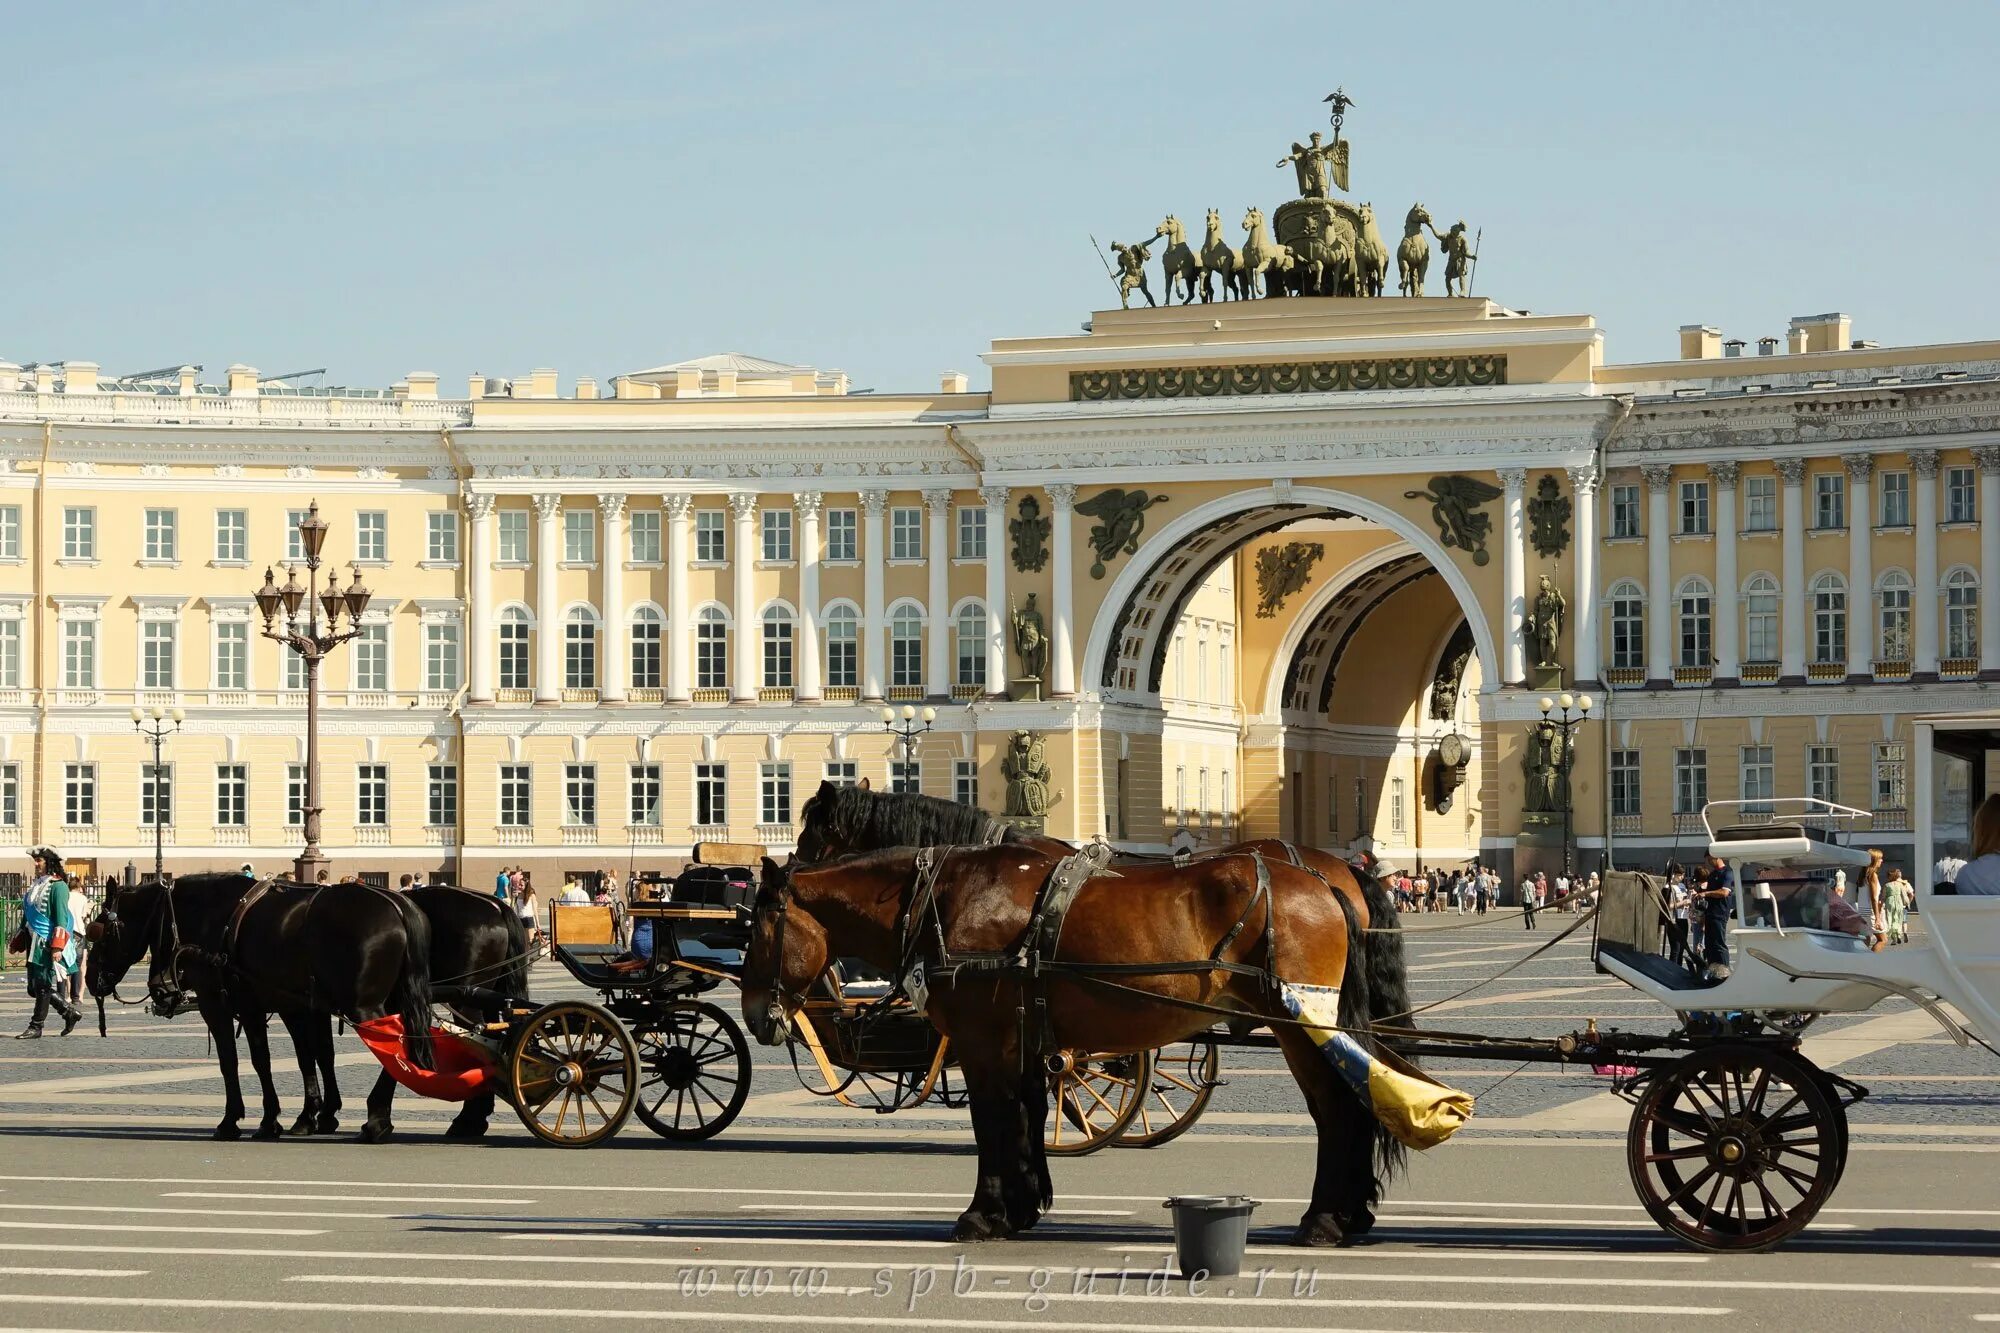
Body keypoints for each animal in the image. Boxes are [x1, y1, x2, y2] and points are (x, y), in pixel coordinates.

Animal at [87, 872, 434, 1144]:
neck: (213, 917)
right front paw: (299, 1117)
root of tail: (399, 905)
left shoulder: (218, 1005)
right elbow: (297, 1058)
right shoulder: (279, 1007)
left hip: (364, 1007)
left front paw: (234, 1121)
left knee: (396, 1050)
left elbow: (235, 1062)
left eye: (98, 933)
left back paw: (376, 1120)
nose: (90, 981)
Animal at [748, 844, 1392, 1240]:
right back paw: (1350, 1213)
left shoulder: (984, 1044)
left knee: (1338, 1111)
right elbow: (1028, 1117)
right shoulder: (1026, 1044)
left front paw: (984, 1213)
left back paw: (1326, 1219)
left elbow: (993, 1124)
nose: (755, 1014)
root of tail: (1325, 880)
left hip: (1301, 1027)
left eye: (757, 928)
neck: (951, 899)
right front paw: (1023, 1205)